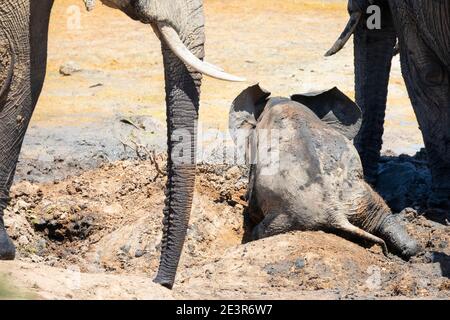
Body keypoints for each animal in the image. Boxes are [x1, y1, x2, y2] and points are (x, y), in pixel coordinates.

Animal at [230, 85, 420, 260]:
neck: (281, 102)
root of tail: (334, 213)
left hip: (286, 218)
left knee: (259, 233)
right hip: (358, 196)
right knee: (381, 214)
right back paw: (413, 249)